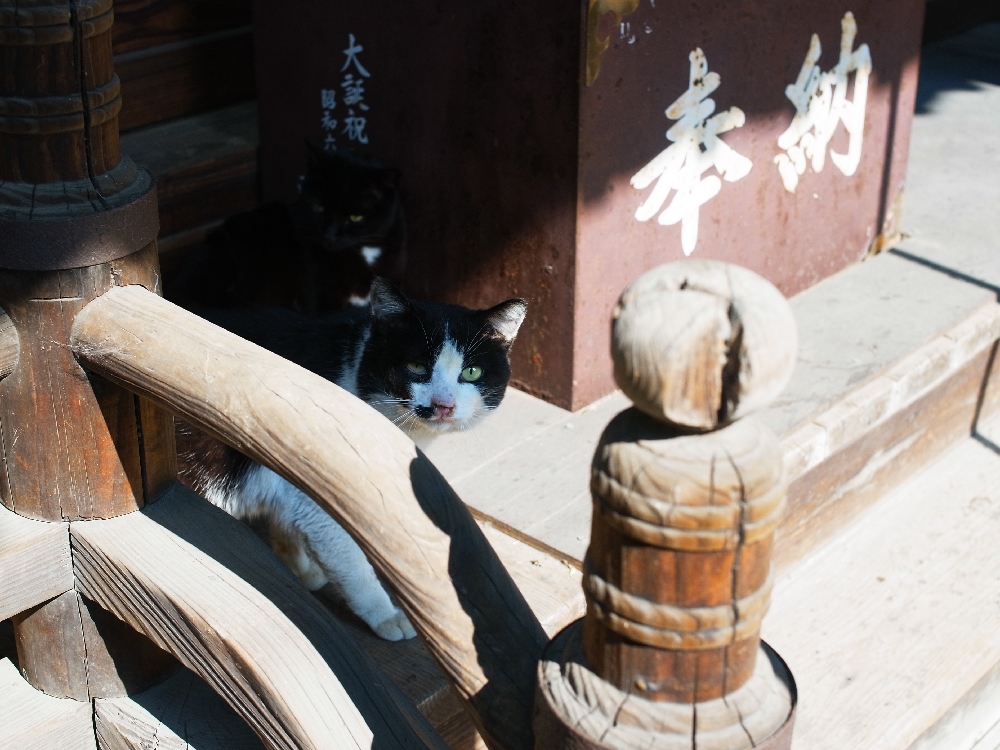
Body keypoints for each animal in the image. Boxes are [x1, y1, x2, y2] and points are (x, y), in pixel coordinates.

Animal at [176, 280, 528, 644]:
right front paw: (386, 616)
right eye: (416, 367)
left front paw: (301, 568)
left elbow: (286, 522)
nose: (443, 405)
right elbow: (352, 562)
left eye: (471, 372)